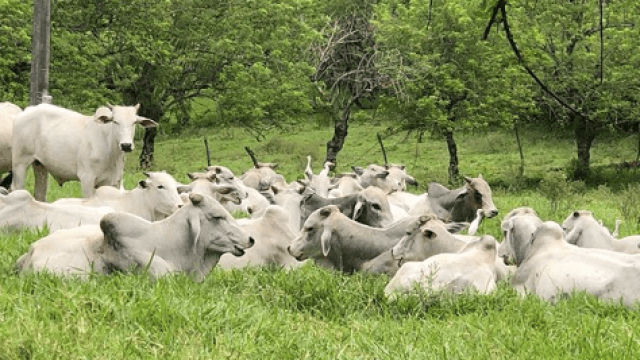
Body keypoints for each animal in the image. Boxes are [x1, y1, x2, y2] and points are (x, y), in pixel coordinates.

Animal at [11, 102, 158, 201]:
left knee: (39, 194)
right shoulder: (87, 178)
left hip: (40, 165)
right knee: (17, 188)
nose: (126, 145)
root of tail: (25, 112)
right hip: (20, 163)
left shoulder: (112, 181)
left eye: (134, 122)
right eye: (115, 121)